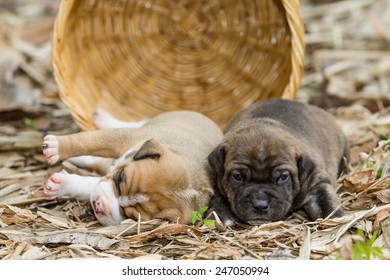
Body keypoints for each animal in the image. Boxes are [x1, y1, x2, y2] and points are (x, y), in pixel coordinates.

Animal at [42, 110, 222, 226]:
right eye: (120, 177)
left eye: (131, 216)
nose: (99, 206)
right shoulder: (122, 139)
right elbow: (88, 141)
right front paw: (56, 147)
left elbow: (91, 185)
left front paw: (61, 185)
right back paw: (102, 118)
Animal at [209, 99, 348, 226]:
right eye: (237, 177)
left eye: (283, 177)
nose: (260, 205)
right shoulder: (219, 183)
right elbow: (217, 198)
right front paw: (219, 214)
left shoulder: (317, 183)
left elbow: (327, 201)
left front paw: (336, 217)